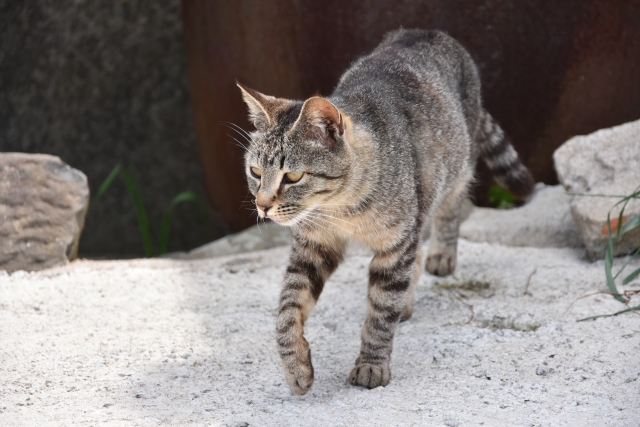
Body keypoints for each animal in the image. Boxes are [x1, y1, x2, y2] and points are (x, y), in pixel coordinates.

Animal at [238, 28, 532, 396]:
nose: (262, 205)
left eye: (292, 176)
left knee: (450, 213)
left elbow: (380, 312)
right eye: (255, 172)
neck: (341, 209)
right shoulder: (314, 246)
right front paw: (295, 366)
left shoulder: (396, 244)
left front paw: (371, 365)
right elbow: (288, 308)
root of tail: (427, 31)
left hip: (454, 173)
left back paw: (441, 256)